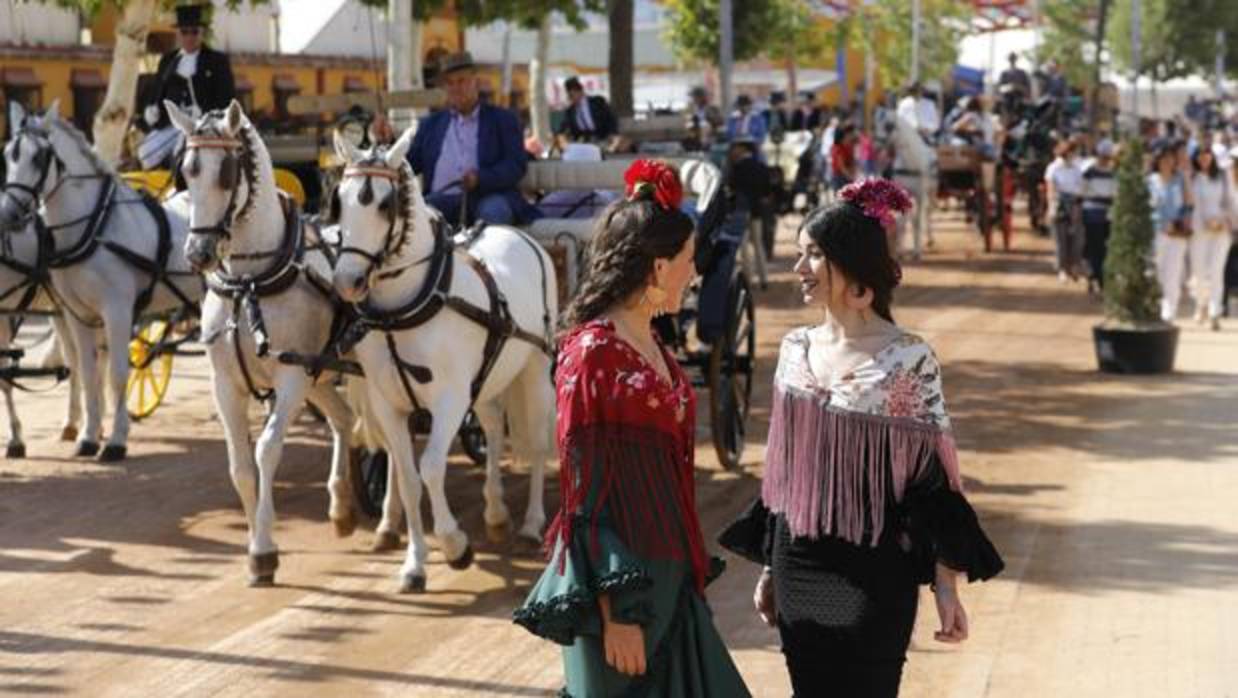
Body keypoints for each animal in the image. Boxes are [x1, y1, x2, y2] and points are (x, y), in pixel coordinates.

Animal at [0, 98, 203, 457]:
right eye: (8, 154)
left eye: (38, 157)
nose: (9, 215)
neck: (93, 226)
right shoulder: (79, 313)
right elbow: (89, 371)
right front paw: (89, 437)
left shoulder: (117, 310)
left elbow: (119, 374)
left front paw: (117, 441)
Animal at [164, 99, 361, 589]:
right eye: (187, 171)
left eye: (227, 173)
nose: (197, 254)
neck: (250, 281)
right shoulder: (225, 384)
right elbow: (240, 466)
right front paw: (255, 548)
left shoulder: (290, 378)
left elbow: (266, 451)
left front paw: (266, 548)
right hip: (320, 376)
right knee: (345, 419)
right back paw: (342, 506)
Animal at [334, 128, 557, 591]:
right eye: (339, 200)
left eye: (385, 204)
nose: (347, 281)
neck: (406, 307)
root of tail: (521, 236)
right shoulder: (388, 404)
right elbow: (406, 475)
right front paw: (414, 564)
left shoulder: (450, 400)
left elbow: (432, 467)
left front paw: (455, 545)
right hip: (489, 378)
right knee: (493, 429)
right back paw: (495, 513)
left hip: (535, 371)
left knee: (537, 442)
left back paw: (530, 524)